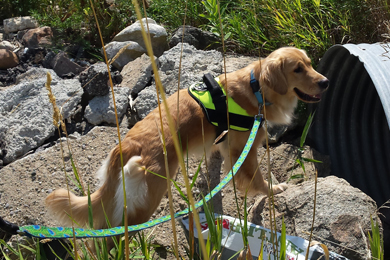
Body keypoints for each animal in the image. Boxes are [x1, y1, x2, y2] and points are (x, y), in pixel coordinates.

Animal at [45, 47, 330, 233]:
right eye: (297, 69)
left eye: (310, 63)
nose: (326, 82)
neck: (256, 89)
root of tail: (128, 143)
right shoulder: (244, 150)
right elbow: (257, 180)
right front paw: (273, 189)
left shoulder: (224, 144)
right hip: (150, 196)